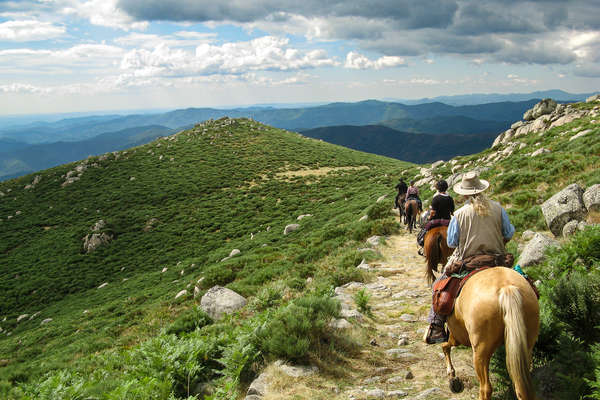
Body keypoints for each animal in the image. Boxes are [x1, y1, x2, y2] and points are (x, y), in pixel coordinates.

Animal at [440, 266, 540, 400]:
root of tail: (506, 288)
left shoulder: (456, 335)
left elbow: (445, 345)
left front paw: (453, 378)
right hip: (526, 347)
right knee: (520, 387)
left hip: (480, 352)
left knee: (485, 388)